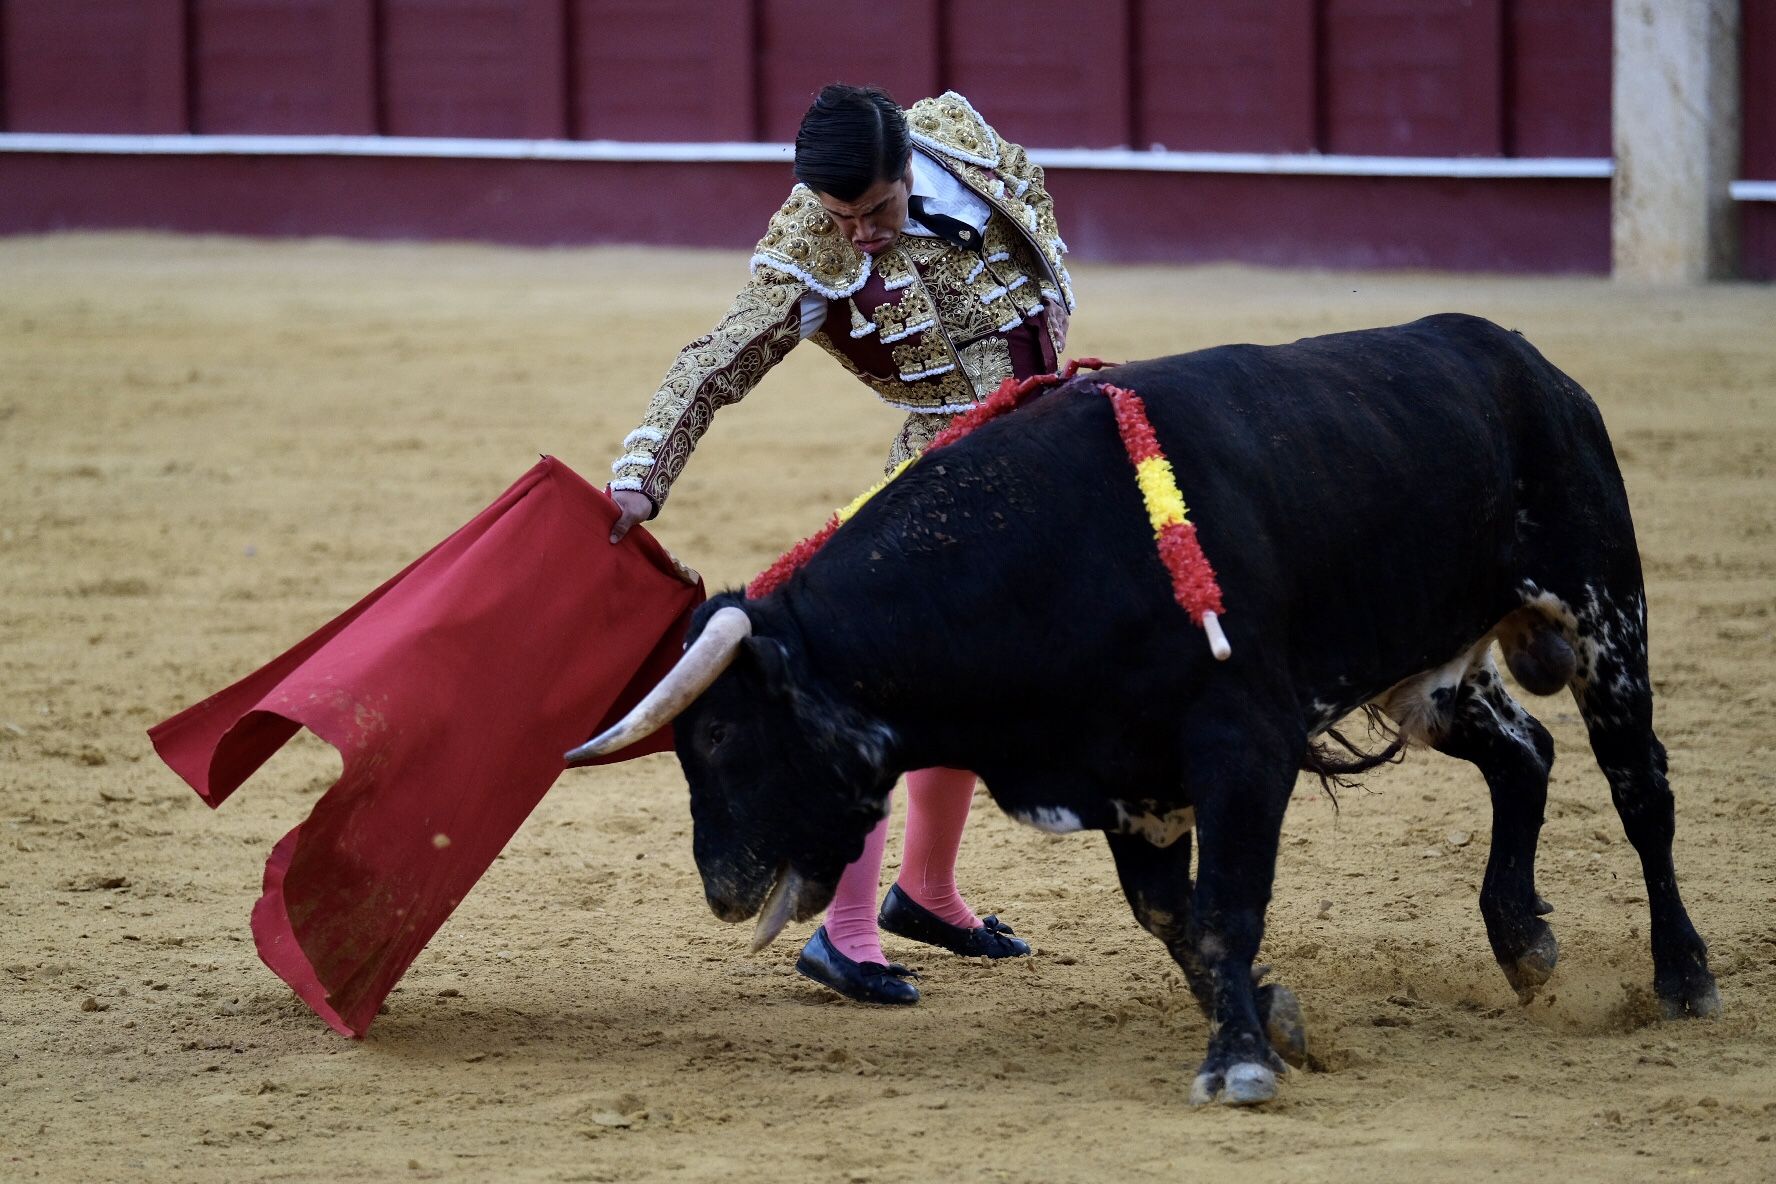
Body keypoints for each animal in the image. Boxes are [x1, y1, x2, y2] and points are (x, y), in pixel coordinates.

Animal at [561, 317, 1712, 1114]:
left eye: (718, 735)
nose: (719, 886)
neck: (1049, 549)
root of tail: (1527, 361)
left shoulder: (1244, 749)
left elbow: (1226, 908)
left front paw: (1241, 1065)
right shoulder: (1131, 781)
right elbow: (1176, 920)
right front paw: (1274, 1021)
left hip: (1605, 611)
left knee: (1640, 789)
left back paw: (1685, 976)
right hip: (1429, 673)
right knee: (1526, 753)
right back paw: (1523, 941)